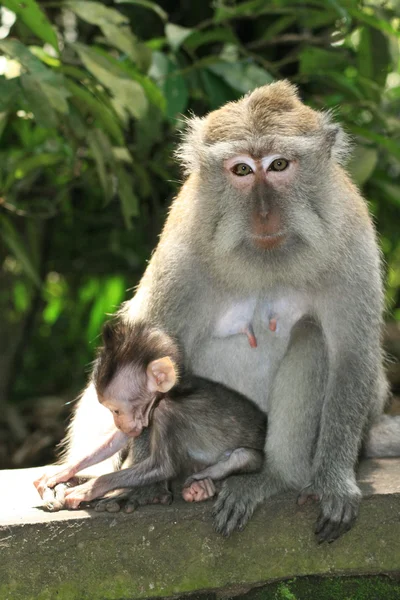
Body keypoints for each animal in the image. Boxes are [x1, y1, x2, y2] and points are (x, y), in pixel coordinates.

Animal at [34, 322, 266, 508]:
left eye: (116, 410)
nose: (118, 422)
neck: (167, 395)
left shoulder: (166, 415)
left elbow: (163, 466)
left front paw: (91, 488)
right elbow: (115, 441)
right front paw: (61, 472)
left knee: (242, 456)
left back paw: (202, 481)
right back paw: (201, 489)